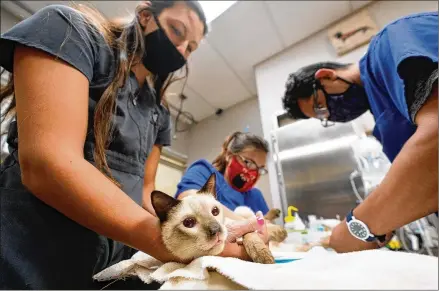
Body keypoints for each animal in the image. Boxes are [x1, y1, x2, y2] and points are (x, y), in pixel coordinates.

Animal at [151, 175, 288, 266]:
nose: (216, 229)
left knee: (260, 218)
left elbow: (250, 235)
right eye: (189, 223)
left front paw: (264, 257)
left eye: (215, 211)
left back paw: (279, 224)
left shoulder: (234, 226)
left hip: (241, 210)